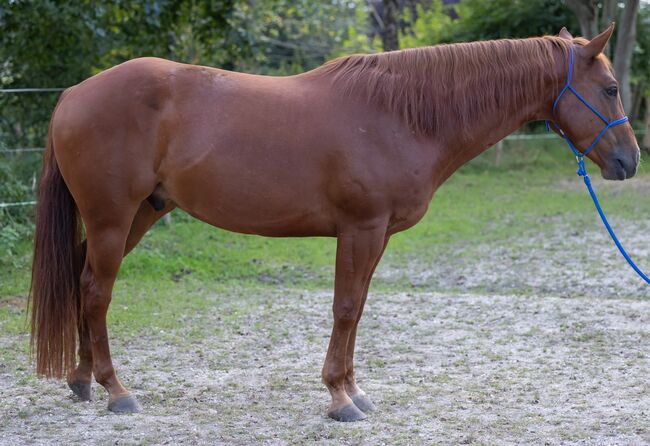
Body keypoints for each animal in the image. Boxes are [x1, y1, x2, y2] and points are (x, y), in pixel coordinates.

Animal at [30, 26, 636, 424]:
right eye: (609, 89)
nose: (629, 162)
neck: (398, 115)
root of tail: (74, 93)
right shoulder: (360, 229)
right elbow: (345, 308)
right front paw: (340, 400)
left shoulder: (375, 235)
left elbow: (358, 308)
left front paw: (353, 390)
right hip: (113, 219)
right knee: (96, 291)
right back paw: (116, 390)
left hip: (140, 214)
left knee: (82, 282)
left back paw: (82, 380)